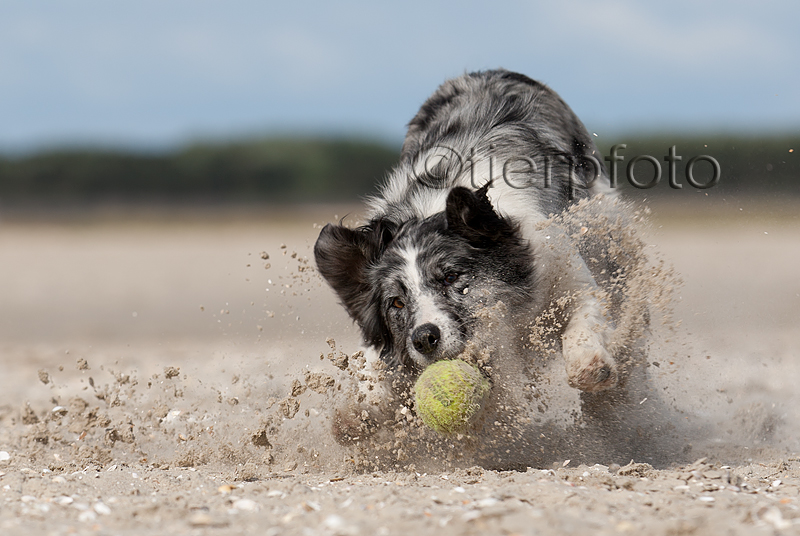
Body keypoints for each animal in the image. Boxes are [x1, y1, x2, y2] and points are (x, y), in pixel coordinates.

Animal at [316, 69, 620, 442]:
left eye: (450, 277)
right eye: (396, 303)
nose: (424, 339)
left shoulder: (565, 272)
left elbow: (583, 318)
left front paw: (589, 365)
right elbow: (374, 367)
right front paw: (359, 411)